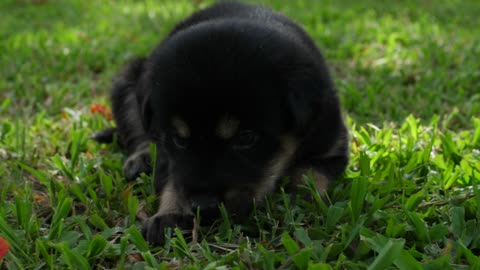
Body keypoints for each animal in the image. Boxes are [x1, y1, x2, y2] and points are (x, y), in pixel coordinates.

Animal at [94, 1, 348, 245]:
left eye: (246, 138)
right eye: (178, 139)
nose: (203, 206)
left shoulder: (332, 148)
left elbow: (310, 177)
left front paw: (301, 205)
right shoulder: (166, 147)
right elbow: (171, 178)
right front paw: (169, 215)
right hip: (129, 80)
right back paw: (141, 158)